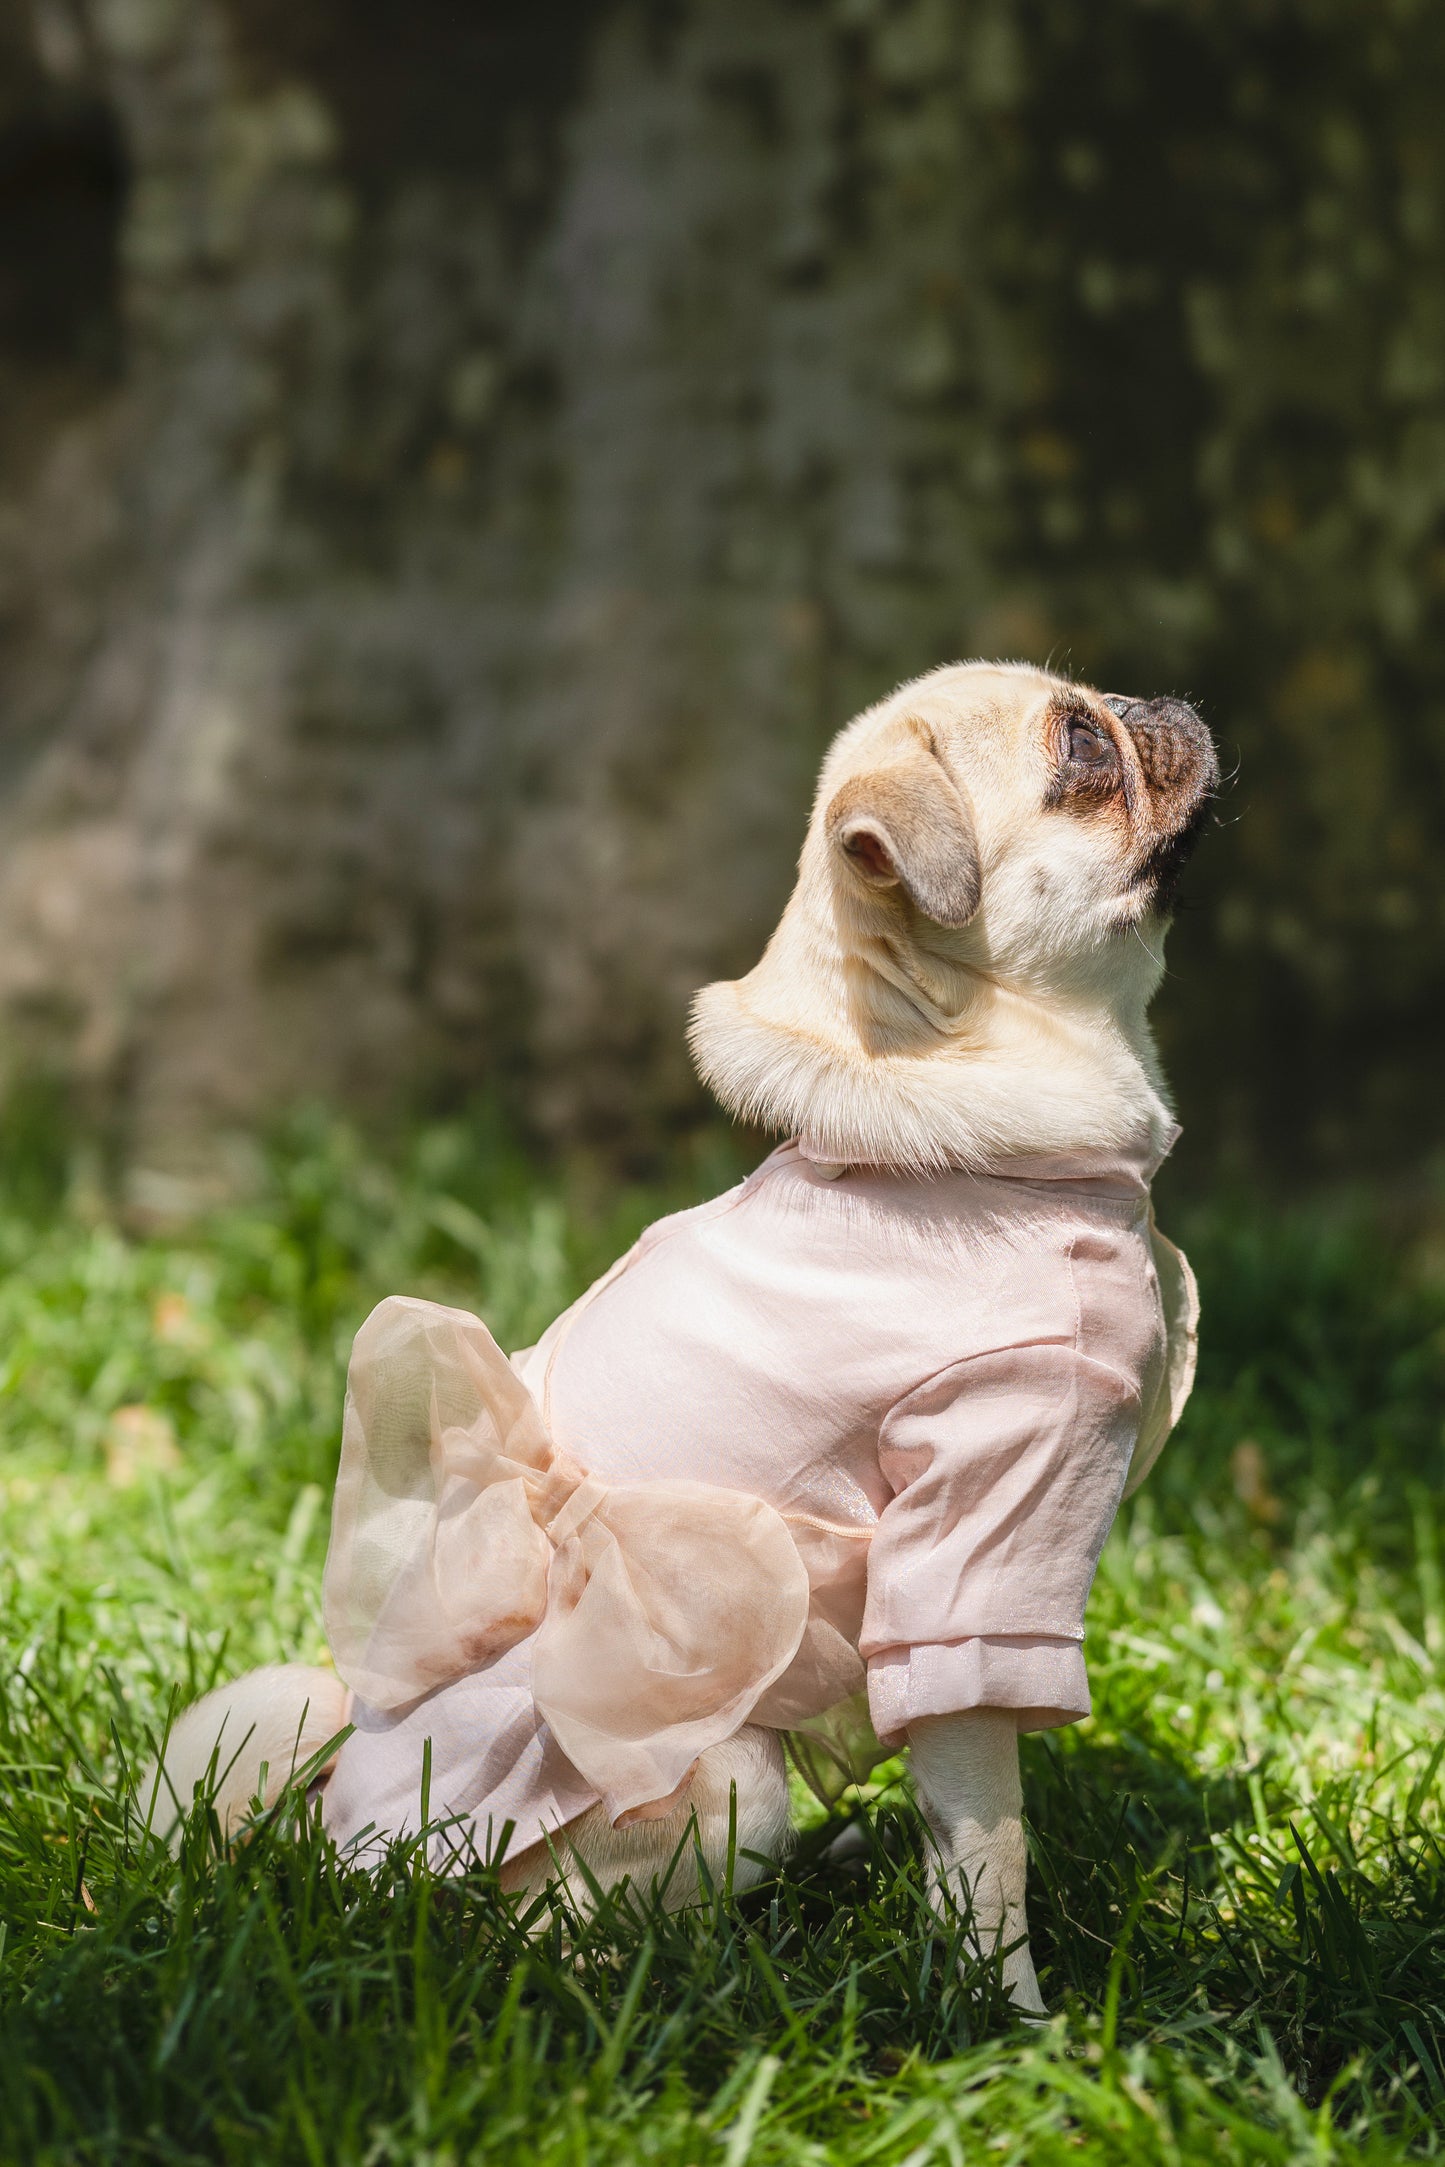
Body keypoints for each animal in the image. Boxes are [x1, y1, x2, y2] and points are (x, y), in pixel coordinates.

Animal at [147, 658, 1213, 2010]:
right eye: (1079, 745)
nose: (1165, 701)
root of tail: (333, 1832)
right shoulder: (985, 1525)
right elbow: (987, 1840)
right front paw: (1008, 2015)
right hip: (724, 1779)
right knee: (553, 1932)